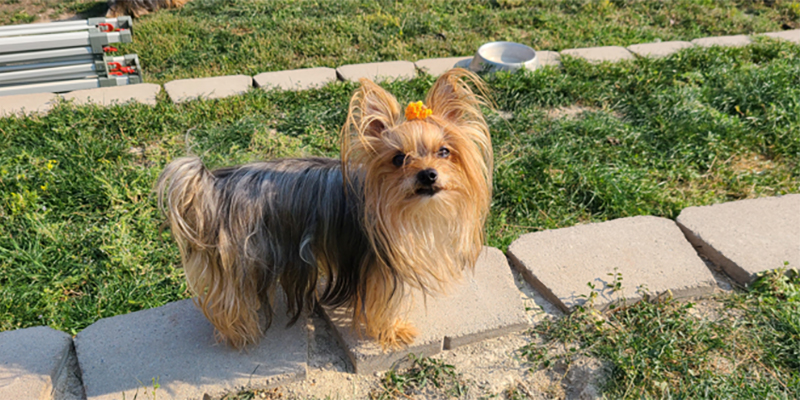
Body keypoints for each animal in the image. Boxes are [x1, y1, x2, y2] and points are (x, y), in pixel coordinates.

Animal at [156, 69, 494, 350]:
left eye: (444, 151)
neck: (412, 212)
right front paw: (394, 331)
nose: (428, 174)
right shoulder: (380, 268)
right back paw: (239, 333)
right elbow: (382, 305)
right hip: (241, 256)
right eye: (398, 158)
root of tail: (215, 182)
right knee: (228, 299)